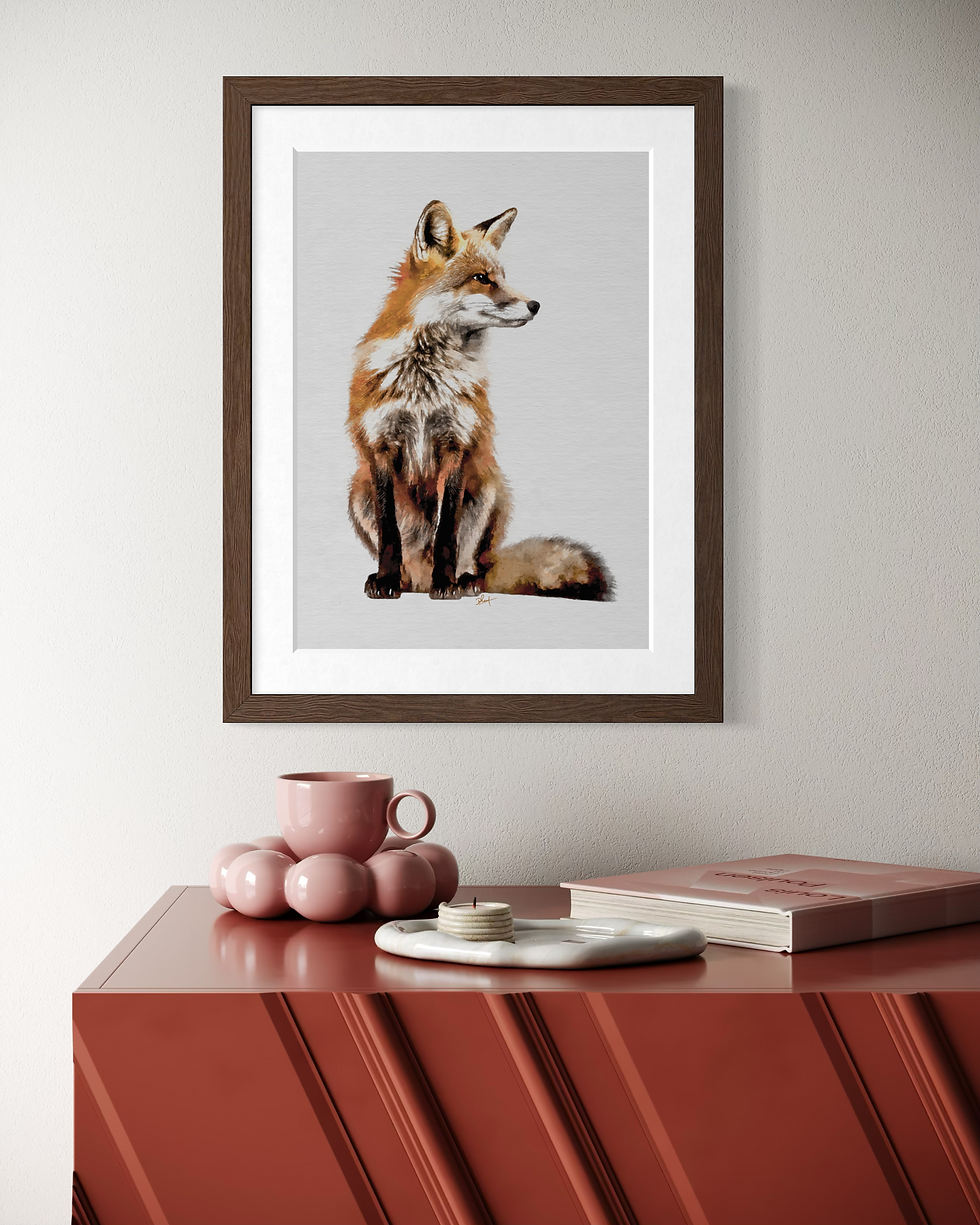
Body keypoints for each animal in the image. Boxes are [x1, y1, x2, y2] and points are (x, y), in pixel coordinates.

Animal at [347, 199, 613, 601]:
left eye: (501, 276)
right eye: (482, 278)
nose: (535, 305)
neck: (426, 378)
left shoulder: (456, 444)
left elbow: (447, 532)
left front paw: (445, 584)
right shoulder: (381, 446)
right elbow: (389, 532)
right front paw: (387, 580)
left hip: (489, 487)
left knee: (473, 561)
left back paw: (462, 580)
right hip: (357, 490)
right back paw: (403, 580)